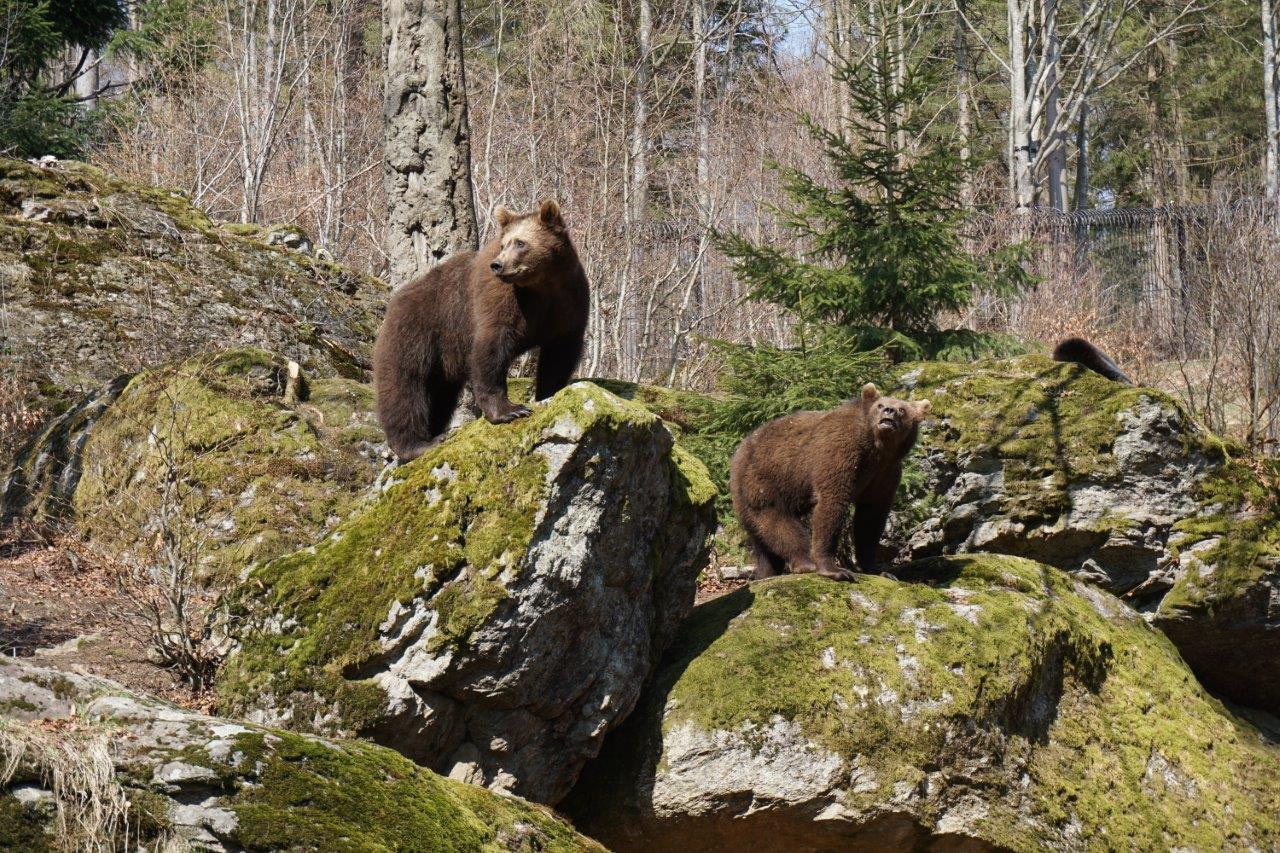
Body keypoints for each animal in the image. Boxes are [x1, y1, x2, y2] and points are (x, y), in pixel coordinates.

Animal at [371, 201, 588, 458]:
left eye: (521, 243)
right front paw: (510, 410)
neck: (542, 284)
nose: (498, 265)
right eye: (504, 244)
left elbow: (560, 353)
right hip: (416, 334)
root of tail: (393, 302)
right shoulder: (500, 298)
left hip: (441, 361)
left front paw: (549, 392)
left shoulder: (568, 301)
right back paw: (417, 444)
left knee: (439, 397)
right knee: (405, 388)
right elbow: (492, 346)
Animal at [732, 384, 931, 578]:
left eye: (902, 409)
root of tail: (739, 449)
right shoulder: (839, 453)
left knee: (761, 541)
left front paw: (878, 569)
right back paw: (805, 563)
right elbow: (832, 502)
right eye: (880, 405)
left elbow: (871, 517)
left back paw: (766, 572)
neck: (876, 448)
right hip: (765, 480)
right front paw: (835, 569)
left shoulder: (884, 473)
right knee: (778, 524)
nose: (889, 411)